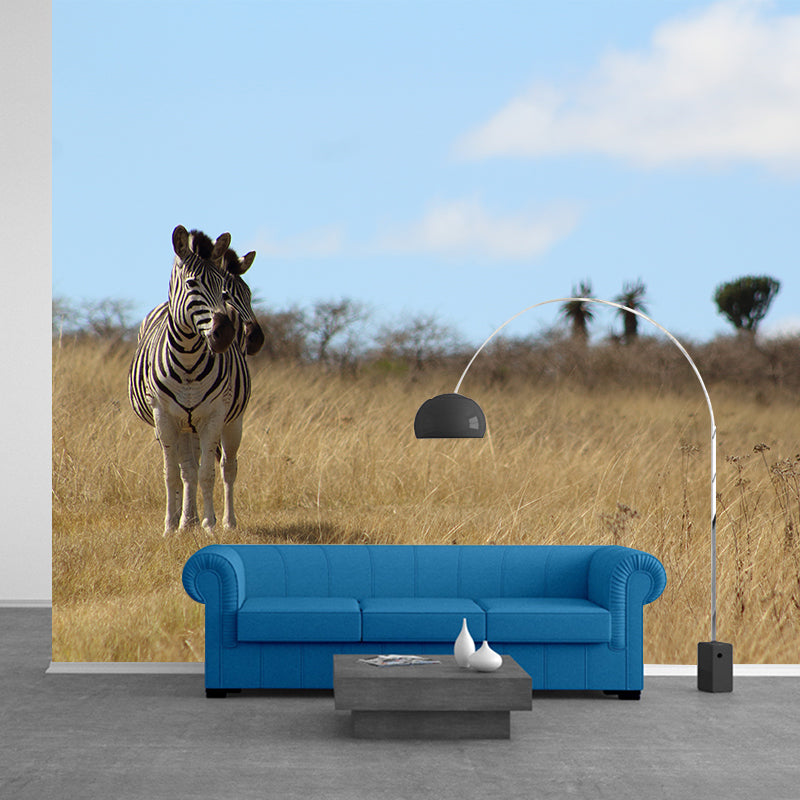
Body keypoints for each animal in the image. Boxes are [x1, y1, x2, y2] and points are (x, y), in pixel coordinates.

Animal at [128, 225, 262, 534]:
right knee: (186, 469)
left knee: (227, 467)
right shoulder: (164, 418)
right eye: (192, 284)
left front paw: (210, 524)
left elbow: (208, 474)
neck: (188, 358)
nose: (225, 334)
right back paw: (185, 520)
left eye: (249, 294)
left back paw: (226, 521)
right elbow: (172, 474)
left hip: (229, 422)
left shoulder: (214, 416)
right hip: (181, 426)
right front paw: (171, 525)